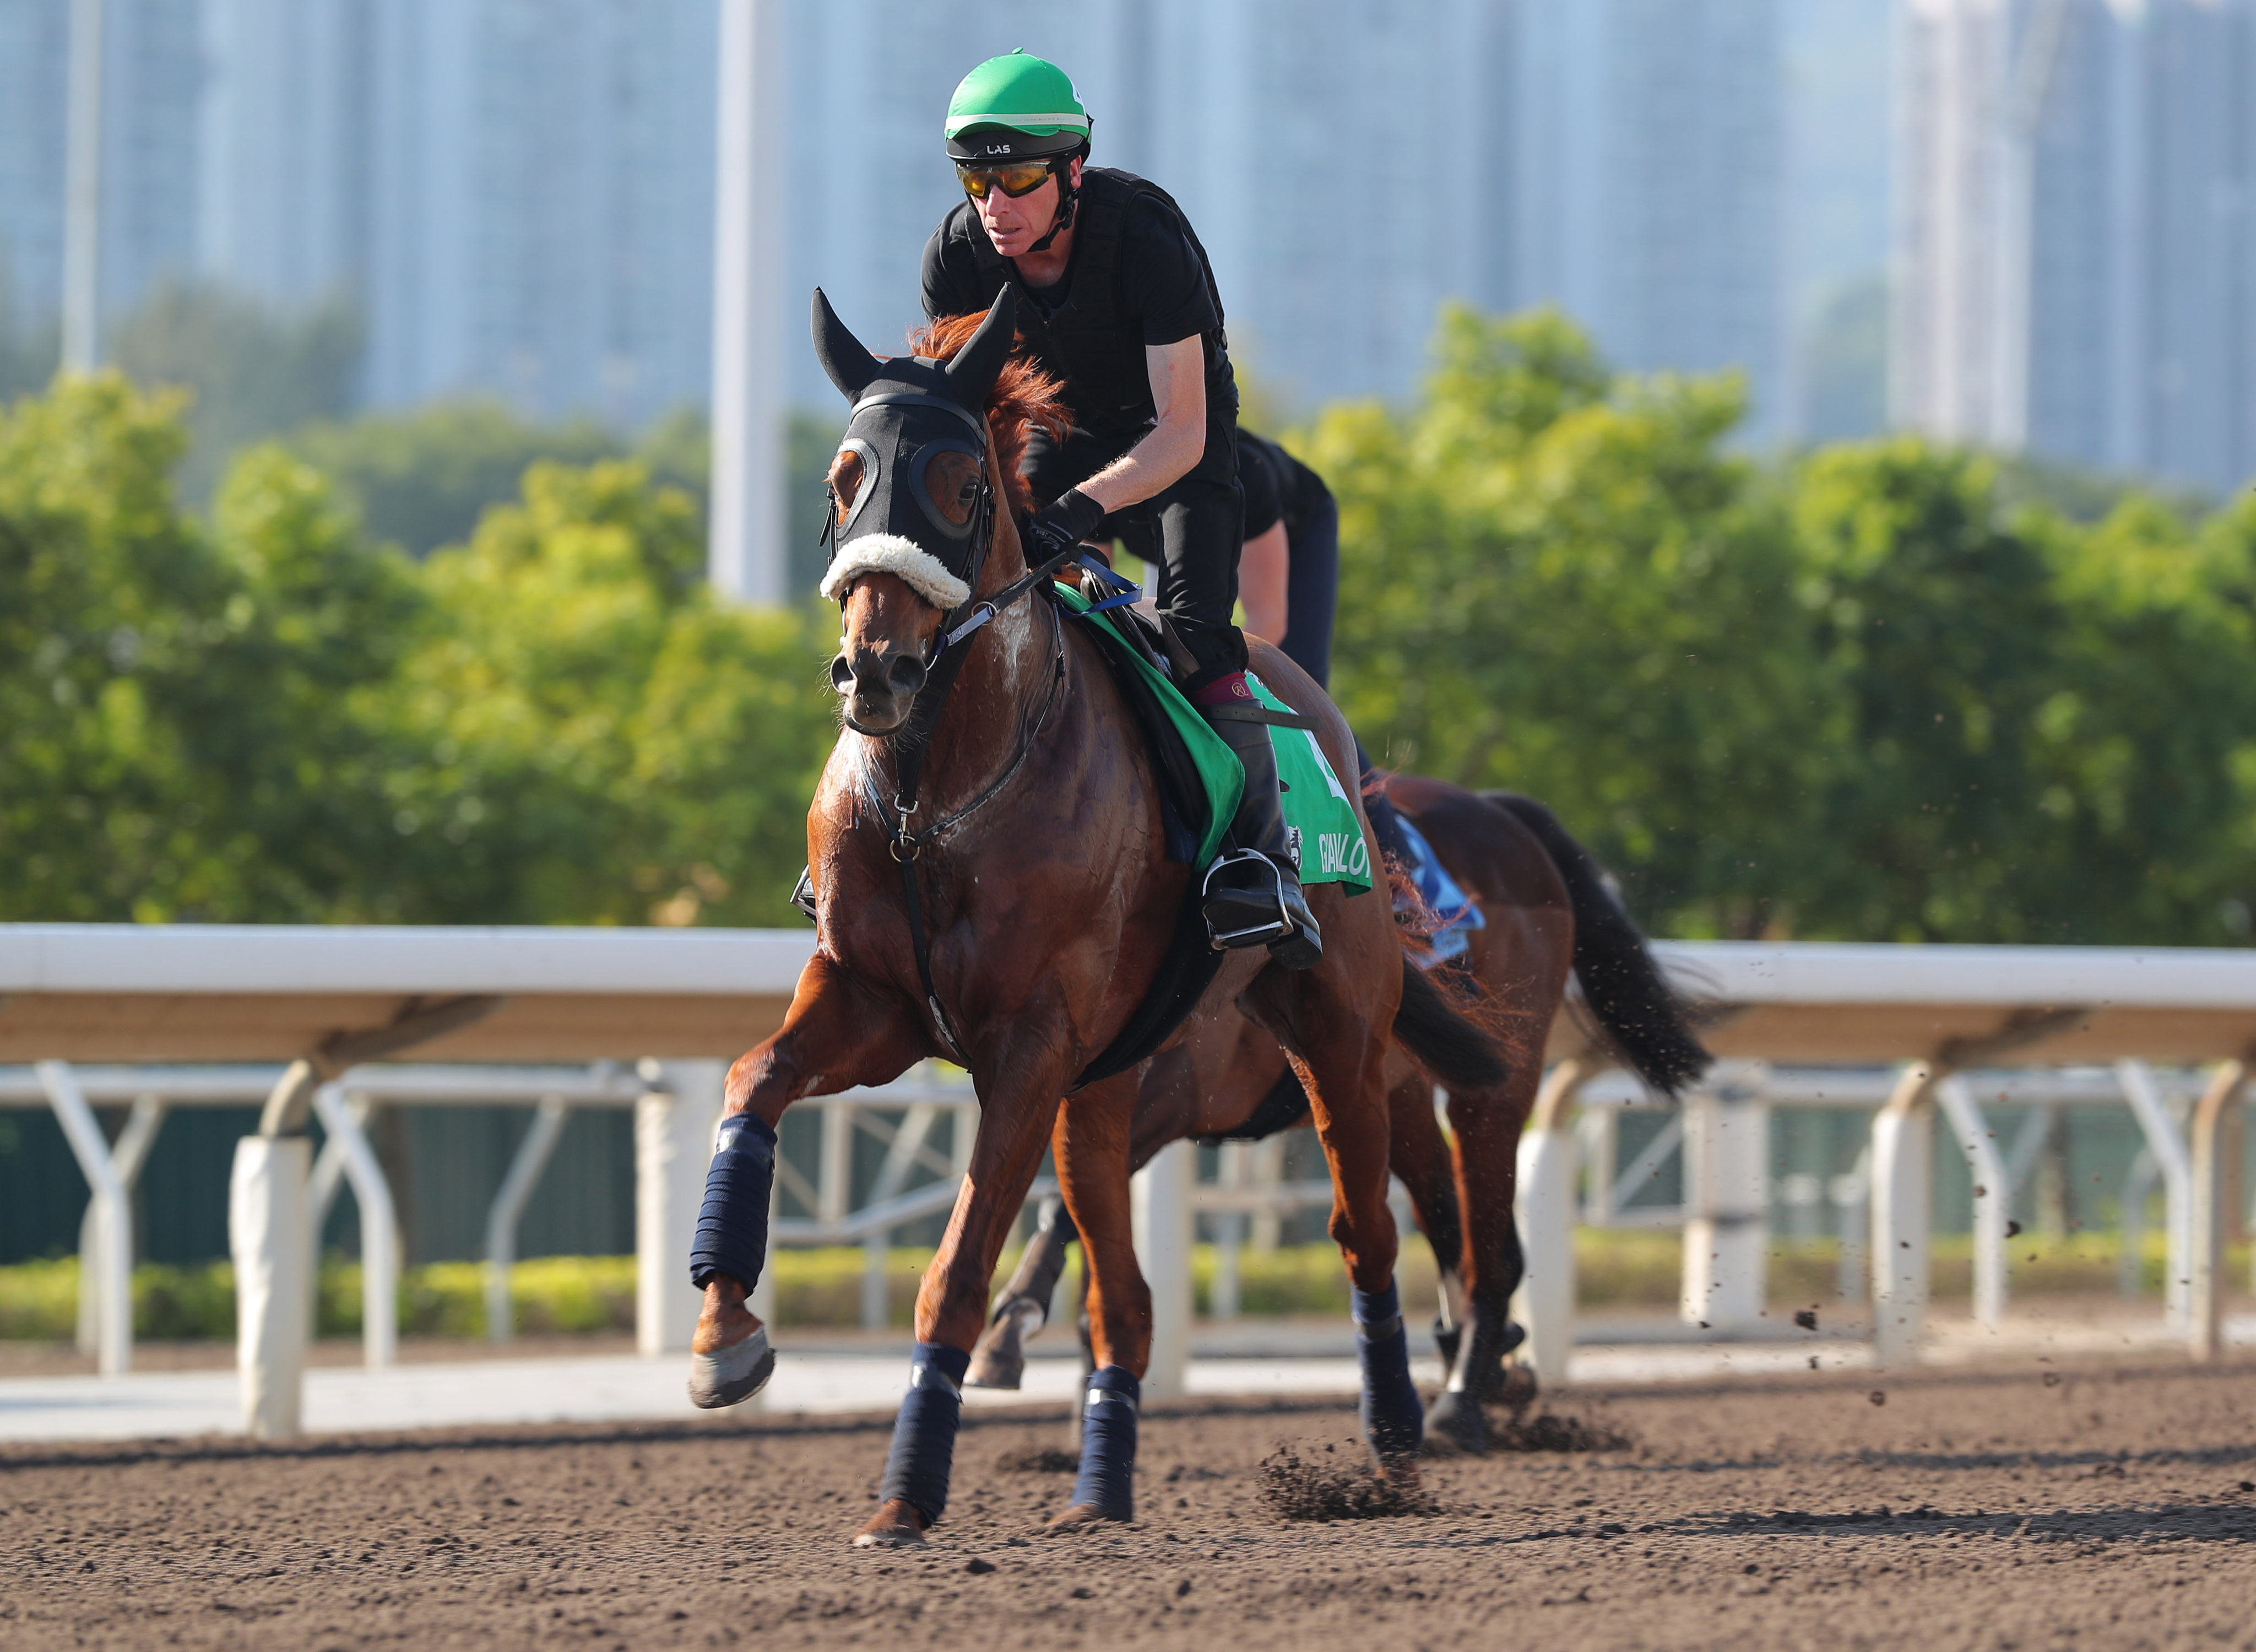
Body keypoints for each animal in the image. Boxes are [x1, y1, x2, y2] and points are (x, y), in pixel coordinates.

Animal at [676, 291, 1507, 1543]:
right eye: (843, 476)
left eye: (962, 482)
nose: (876, 669)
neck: (933, 798)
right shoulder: (876, 1001)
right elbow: (751, 1078)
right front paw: (725, 1334)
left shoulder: (1027, 1043)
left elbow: (957, 1264)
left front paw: (905, 1491)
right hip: (1108, 1082)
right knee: (1127, 1295)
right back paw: (1099, 1490)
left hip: (1337, 1034)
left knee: (1364, 1227)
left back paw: (1398, 1433)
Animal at [970, 776, 1705, 1444]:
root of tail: (1501, 812)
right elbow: (1075, 1204)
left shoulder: (1178, 1095)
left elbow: (1068, 1203)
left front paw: (1011, 1329)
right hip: (1401, 1091)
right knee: (1456, 1225)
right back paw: (1486, 1365)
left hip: (1498, 1079)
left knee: (1486, 1249)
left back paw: (1460, 1402)